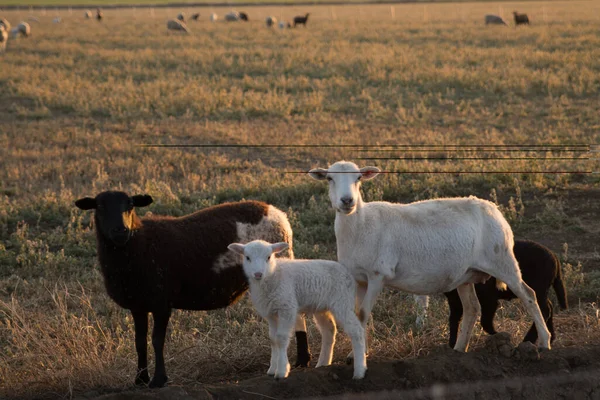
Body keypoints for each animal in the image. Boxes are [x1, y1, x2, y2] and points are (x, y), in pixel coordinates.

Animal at [74, 192, 314, 390]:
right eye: (99, 206)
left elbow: (157, 340)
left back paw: (303, 360)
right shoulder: (138, 304)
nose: (120, 231)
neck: (137, 243)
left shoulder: (162, 302)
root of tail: (278, 214)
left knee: (297, 314)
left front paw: (158, 380)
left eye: (130, 205)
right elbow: (139, 341)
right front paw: (140, 379)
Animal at [229, 239, 366, 380]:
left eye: (268, 257)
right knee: (329, 330)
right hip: (321, 307)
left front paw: (282, 370)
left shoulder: (287, 307)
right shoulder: (271, 313)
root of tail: (348, 274)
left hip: (342, 302)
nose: (258, 274)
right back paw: (323, 363)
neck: (273, 274)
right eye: (247, 257)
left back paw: (359, 370)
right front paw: (272, 368)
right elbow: (273, 339)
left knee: (356, 331)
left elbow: (281, 338)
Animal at [310, 160, 552, 360]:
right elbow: (359, 316)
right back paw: (459, 350)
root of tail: (493, 208)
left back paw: (545, 343)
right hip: (467, 274)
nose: (347, 201)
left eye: (358, 178)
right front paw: (358, 353)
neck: (361, 223)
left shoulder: (378, 275)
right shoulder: (359, 278)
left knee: (528, 295)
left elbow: (363, 314)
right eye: (330, 179)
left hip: (502, 259)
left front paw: (356, 356)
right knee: (472, 308)